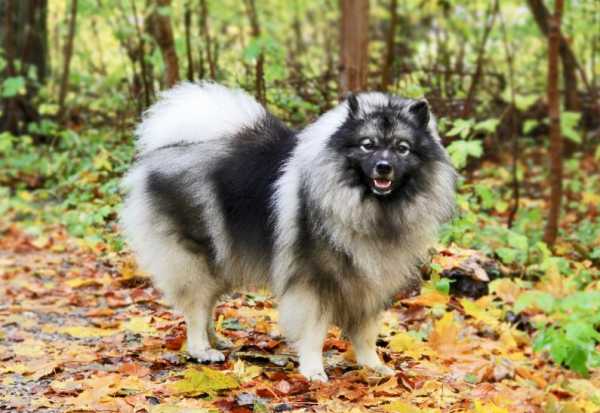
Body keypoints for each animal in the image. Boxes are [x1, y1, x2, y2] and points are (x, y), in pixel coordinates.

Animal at [123, 82, 460, 382]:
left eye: (402, 149)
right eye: (368, 144)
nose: (383, 167)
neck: (369, 209)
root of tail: (165, 150)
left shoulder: (370, 282)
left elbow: (365, 332)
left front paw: (372, 366)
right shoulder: (313, 281)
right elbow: (314, 330)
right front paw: (313, 370)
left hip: (221, 262)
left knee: (208, 306)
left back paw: (216, 340)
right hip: (194, 262)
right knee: (195, 308)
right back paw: (201, 350)